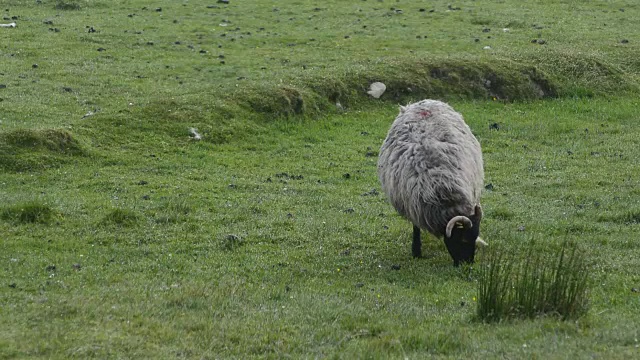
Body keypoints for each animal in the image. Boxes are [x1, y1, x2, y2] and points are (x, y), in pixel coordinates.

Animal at [376, 100, 484, 266]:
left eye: (474, 237)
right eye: (464, 240)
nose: (468, 264)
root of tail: (425, 101)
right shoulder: (413, 203)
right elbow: (416, 227)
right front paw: (416, 251)